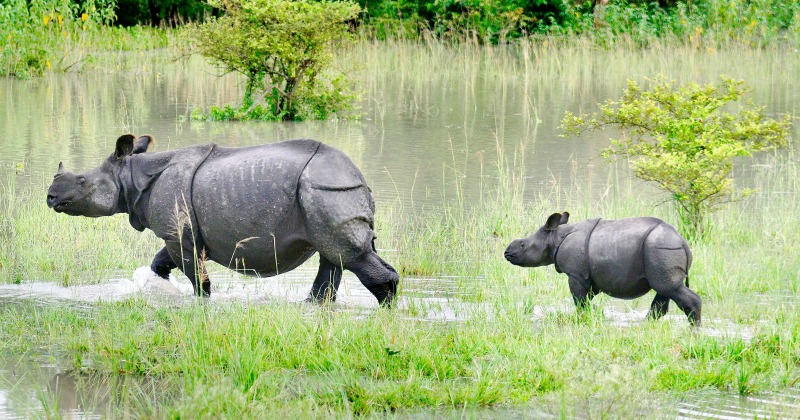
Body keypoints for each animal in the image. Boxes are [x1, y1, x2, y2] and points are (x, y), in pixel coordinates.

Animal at [47, 135, 400, 306]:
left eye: (81, 181)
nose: (50, 196)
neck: (132, 176)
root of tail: (358, 177)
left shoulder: (178, 235)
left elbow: (197, 277)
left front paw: (201, 301)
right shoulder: (179, 233)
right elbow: (160, 262)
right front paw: (160, 286)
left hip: (326, 190)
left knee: (348, 255)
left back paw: (388, 310)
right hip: (329, 192)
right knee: (333, 256)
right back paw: (314, 305)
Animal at [506, 213, 700, 324]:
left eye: (523, 245)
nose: (507, 252)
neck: (554, 237)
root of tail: (682, 241)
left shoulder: (575, 274)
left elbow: (580, 301)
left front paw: (584, 319)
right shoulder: (587, 276)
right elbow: (587, 297)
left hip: (660, 249)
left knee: (669, 288)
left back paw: (694, 331)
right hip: (661, 251)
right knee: (665, 289)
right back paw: (645, 326)